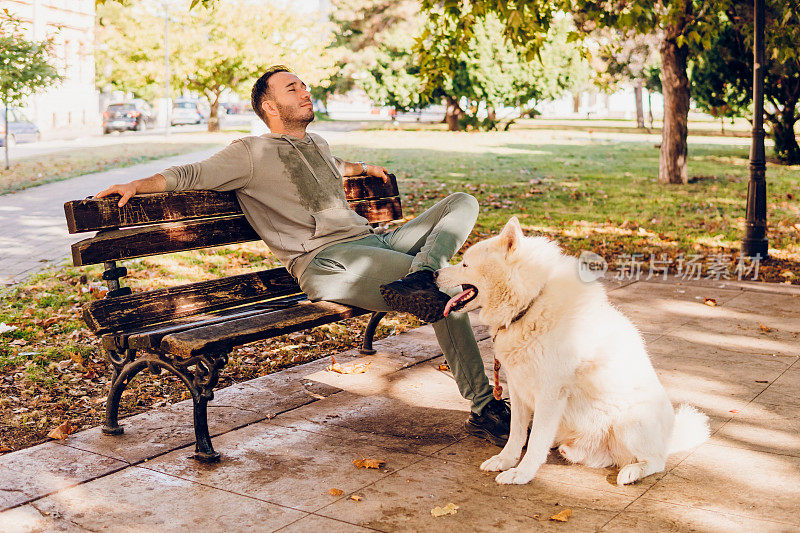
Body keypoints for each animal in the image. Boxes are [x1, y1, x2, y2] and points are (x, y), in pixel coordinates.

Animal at [438, 217, 708, 486]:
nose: (434, 274)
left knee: (655, 461)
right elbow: (517, 434)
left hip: (630, 423)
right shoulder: (518, 388)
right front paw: (504, 461)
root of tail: (670, 436)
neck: (529, 304)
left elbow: (535, 441)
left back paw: (631, 472)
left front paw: (522, 473)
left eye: (465, 263)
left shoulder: (550, 394)